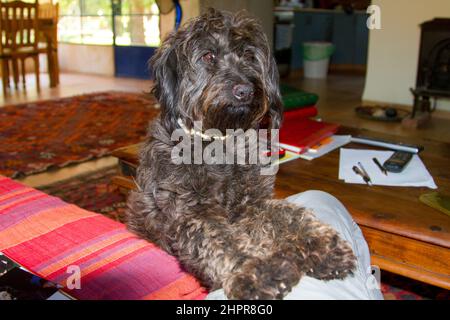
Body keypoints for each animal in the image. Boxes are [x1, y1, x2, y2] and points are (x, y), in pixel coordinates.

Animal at [125, 9, 356, 300]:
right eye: (208, 56)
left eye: (248, 54)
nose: (245, 90)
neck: (220, 140)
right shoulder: (192, 215)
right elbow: (222, 241)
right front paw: (260, 270)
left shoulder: (254, 203)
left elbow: (291, 216)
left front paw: (324, 246)